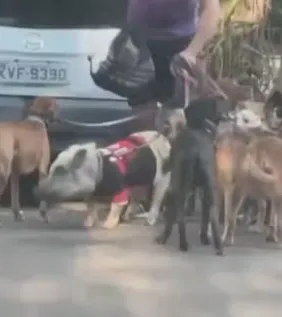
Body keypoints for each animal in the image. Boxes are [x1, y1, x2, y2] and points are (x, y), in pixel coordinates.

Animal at [155, 97, 230, 256]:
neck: (199, 126)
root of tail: (197, 150)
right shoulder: (203, 190)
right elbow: (205, 217)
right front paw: (204, 238)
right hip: (211, 189)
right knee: (212, 215)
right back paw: (218, 246)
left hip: (179, 186)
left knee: (178, 215)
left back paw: (178, 242)